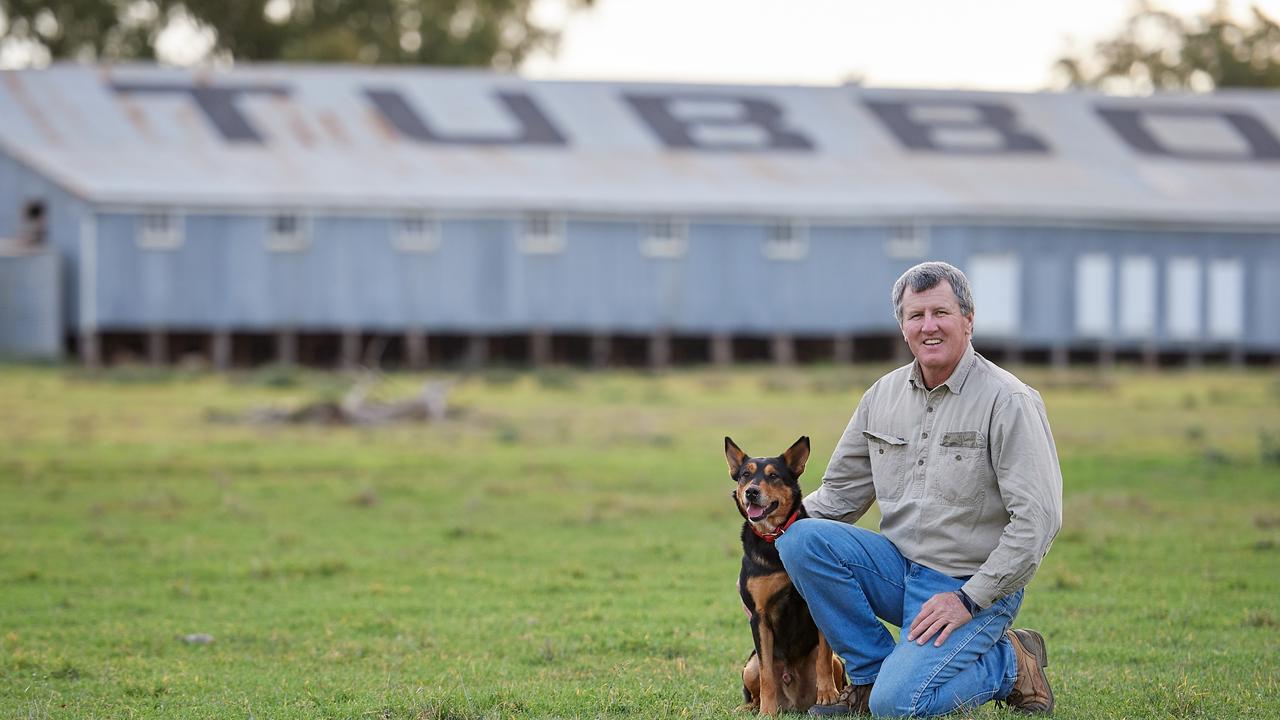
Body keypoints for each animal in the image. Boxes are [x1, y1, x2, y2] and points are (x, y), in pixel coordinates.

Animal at [727, 430, 844, 712]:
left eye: (773, 476)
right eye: (745, 475)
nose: (751, 492)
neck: (775, 537)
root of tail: (794, 702)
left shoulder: (818, 601)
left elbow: (823, 657)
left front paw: (828, 694)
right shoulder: (758, 616)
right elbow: (767, 673)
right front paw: (767, 712)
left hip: (839, 662)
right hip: (749, 665)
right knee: (756, 686)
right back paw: (752, 707)